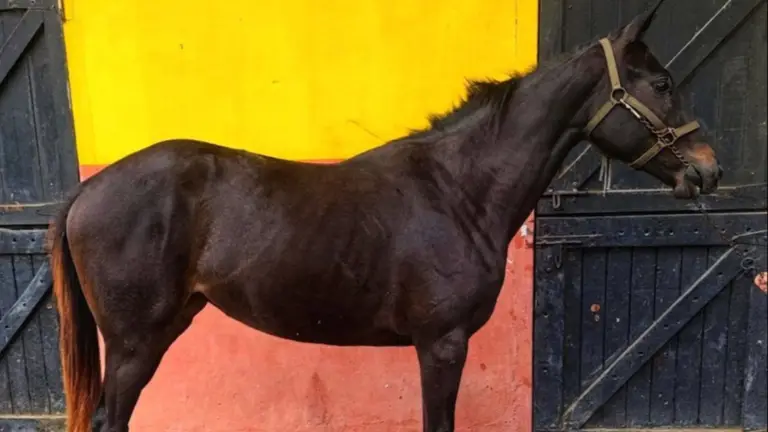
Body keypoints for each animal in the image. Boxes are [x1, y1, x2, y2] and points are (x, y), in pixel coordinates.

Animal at [48, 2, 723, 431]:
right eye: (662, 83)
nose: (708, 170)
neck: (458, 191)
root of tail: (88, 189)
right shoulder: (442, 345)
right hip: (134, 343)